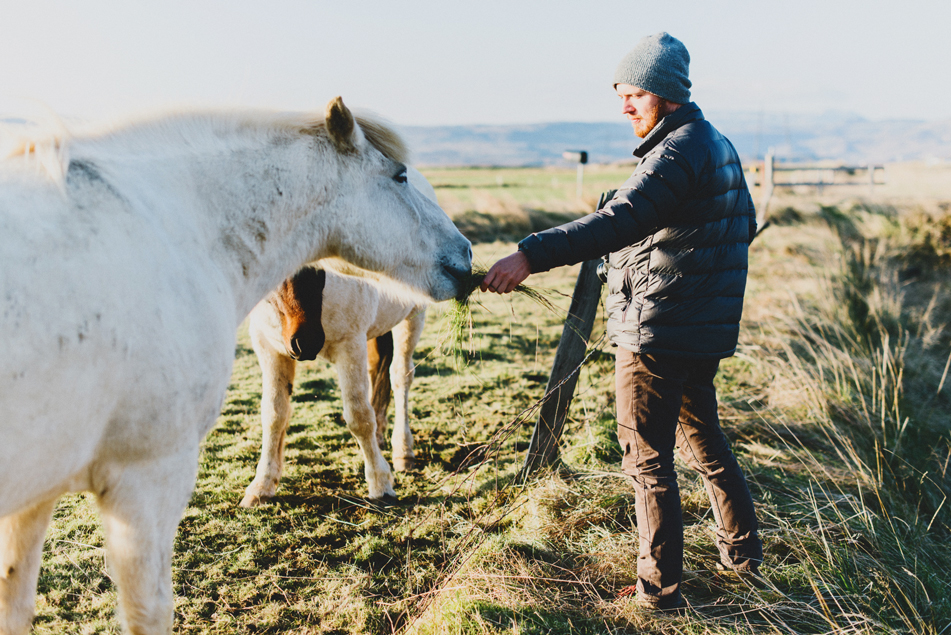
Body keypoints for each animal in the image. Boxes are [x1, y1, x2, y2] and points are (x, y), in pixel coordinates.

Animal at [244, 168, 440, 506]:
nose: (306, 341)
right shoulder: (269, 348)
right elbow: (274, 413)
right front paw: (262, 485)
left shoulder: (350, 345)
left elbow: (359, 416)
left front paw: (381, 483)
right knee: (379, 372)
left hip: (412, 318)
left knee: (400, 376)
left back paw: (403, 451)